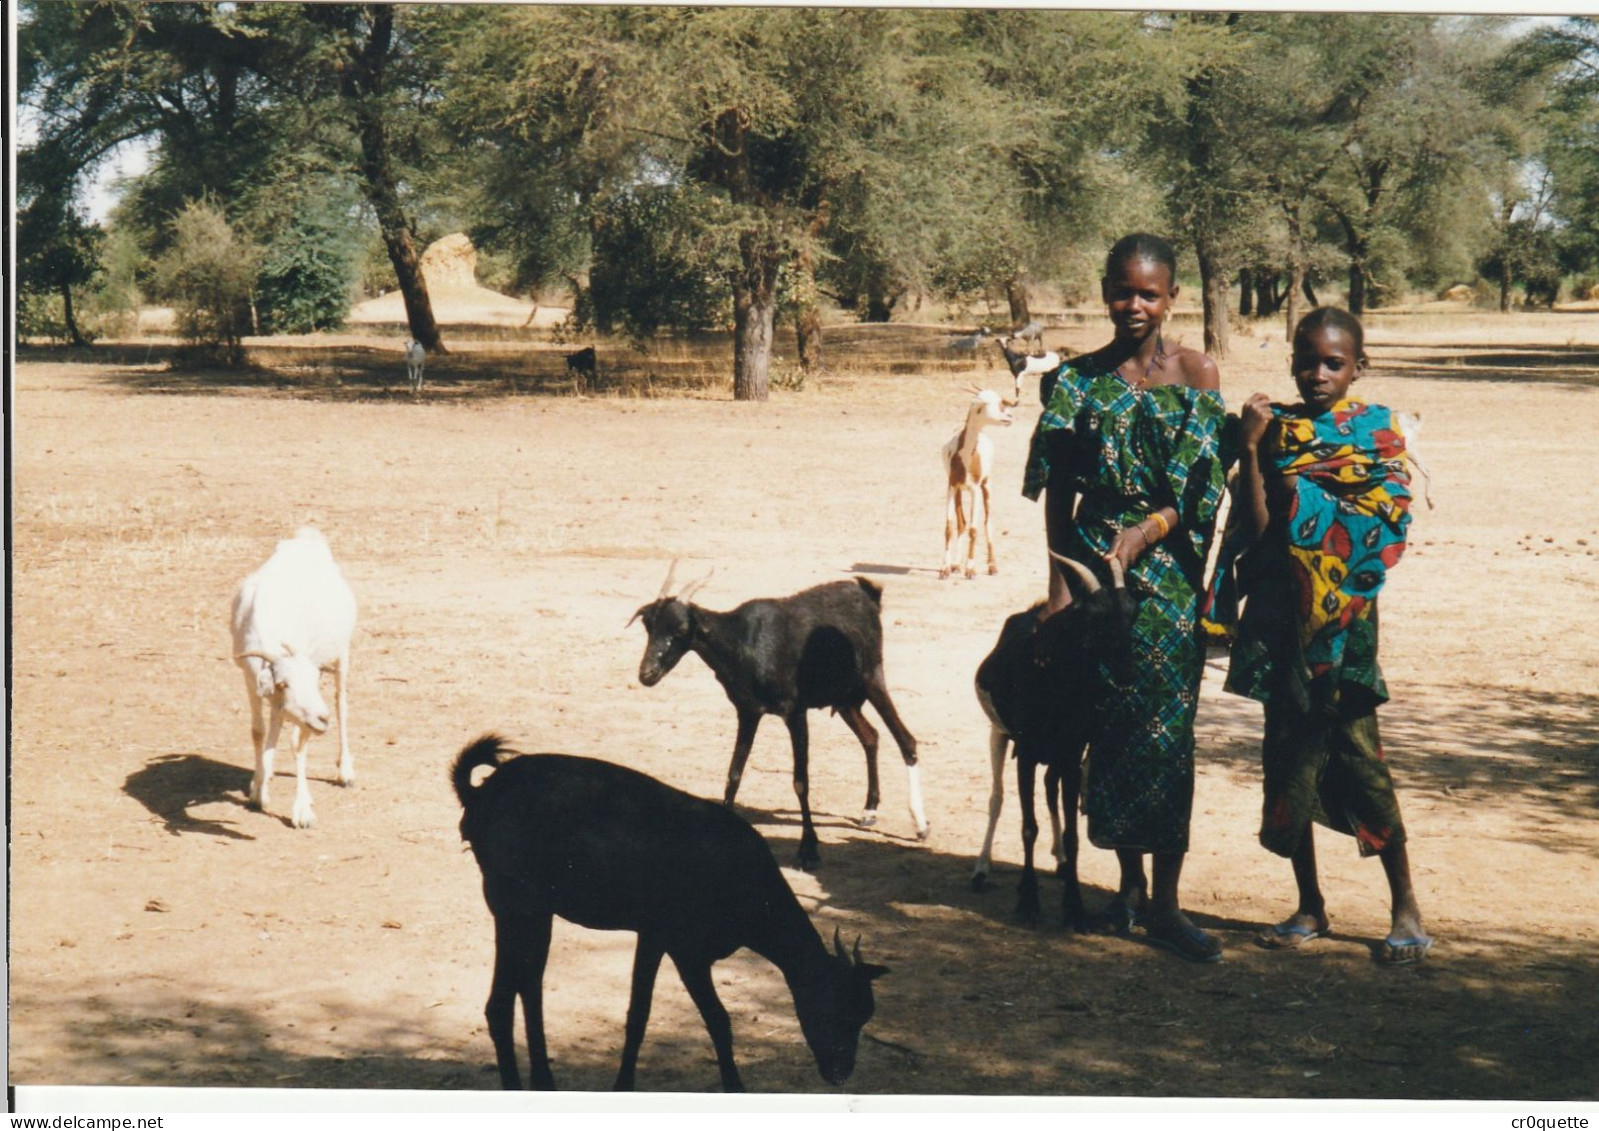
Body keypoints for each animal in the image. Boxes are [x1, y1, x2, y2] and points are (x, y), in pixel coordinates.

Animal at [231, 531, 356, 831]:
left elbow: (298, 743)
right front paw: (258, 791)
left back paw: (345, 771)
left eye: (314, 679)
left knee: (341, 705)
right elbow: (258, 731)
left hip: (343, 655)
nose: (322, 719)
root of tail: (306, 538)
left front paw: (302, 811)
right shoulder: (252, 681)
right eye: (283, 683)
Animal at [457, 739, 895, 1094]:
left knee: (528, 986)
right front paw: (729, 1087)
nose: (840, 1072)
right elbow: (702, 1018)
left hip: (534, 908)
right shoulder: (680, 941)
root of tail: (477, 795)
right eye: (837, 1008)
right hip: (513, 899)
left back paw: (543, 1081)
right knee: (502, 1001)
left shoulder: (661, 937)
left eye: (865, 1014)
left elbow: (655, 1015)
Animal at [623, 563, 927, 870]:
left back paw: (920, 825)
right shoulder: (747, 711)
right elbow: (734, 775)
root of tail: (867, 594)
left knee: (907, 741)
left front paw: (808, 849)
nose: (647, 674)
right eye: (648, 625)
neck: (744, 642)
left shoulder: (794, 712)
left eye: (682, 628)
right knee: (871, 737)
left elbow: (800, 781)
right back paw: (869, 809)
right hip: (844, 699)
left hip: (871, 677)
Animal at [940, 388, 1016, 585]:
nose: (1010, 417)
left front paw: (971, 569)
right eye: (992, 405)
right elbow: (949, 527)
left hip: (986, 486)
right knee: (962, 522)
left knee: (988, 522)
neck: (966, 457)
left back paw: (992, 566)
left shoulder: (975, 489)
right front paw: (945, 569)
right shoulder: (952, 486)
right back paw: (956, 564)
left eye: (1001, 402)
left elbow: (974, 530)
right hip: (960, 491)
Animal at [965, 550, 1144, 927]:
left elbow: (1073, 834)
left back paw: (1060, 861)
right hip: (998, 733)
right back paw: (982, 868)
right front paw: (1028, 902)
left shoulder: (1072, 757)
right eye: (1094, 617)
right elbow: (1027, 827)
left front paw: (1074, 906)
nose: (1127, 671)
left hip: (1055, 757)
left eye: (1132, 613)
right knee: (996, 798)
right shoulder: (1027, 754)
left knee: (1048, 789)